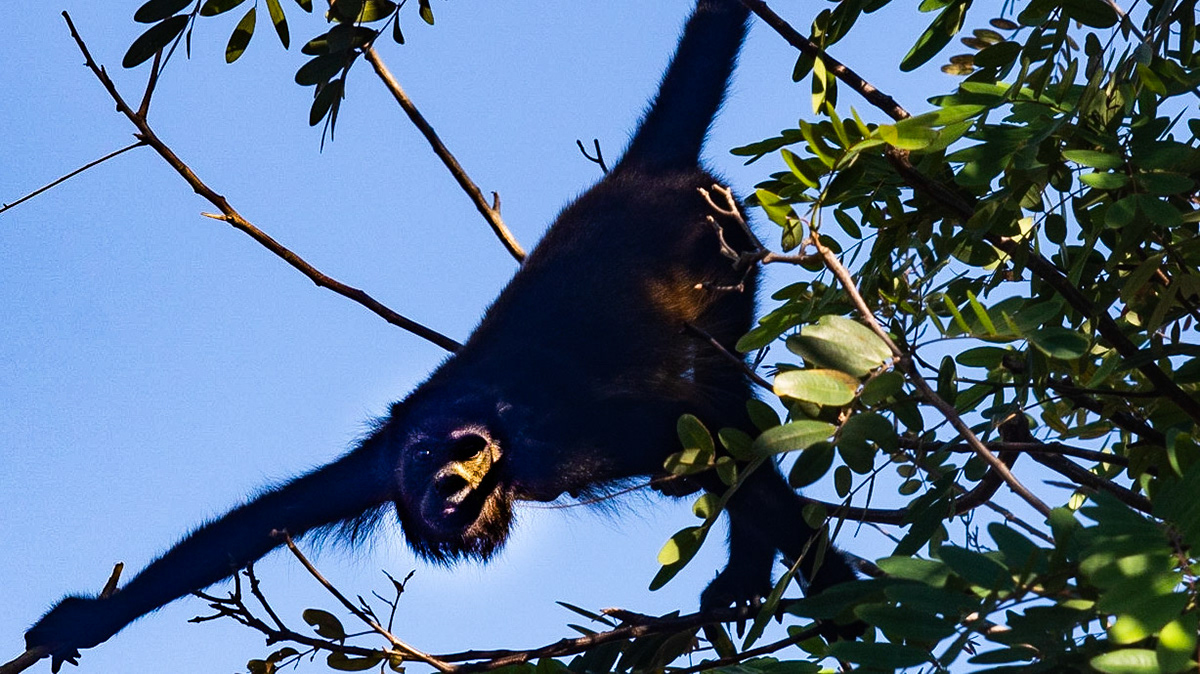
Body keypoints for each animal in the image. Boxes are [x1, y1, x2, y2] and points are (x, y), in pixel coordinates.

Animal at [22, 0, 858, 666]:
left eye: (460, 454)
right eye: (427, 464)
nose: (451, 480)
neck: (491, 435)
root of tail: (639, 172)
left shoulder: (568, 441)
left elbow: (703, 428)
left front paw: (841, 597)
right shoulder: (376, 468)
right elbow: (253, 525)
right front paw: (86, 620)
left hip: (725, 246)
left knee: (721, 403)